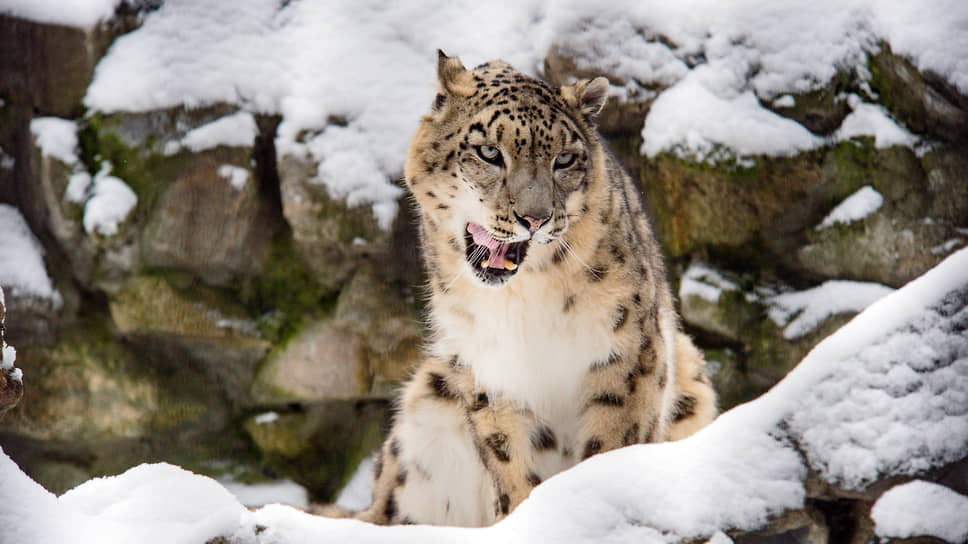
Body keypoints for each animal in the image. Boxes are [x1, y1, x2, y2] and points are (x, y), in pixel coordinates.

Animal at [350, 51, 716, 527]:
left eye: (564, 160)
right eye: (489, 152)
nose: (534, 218)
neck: (523, 297)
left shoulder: (627, 354)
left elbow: (611, 443)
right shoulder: (489, 370)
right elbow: (511, 462)